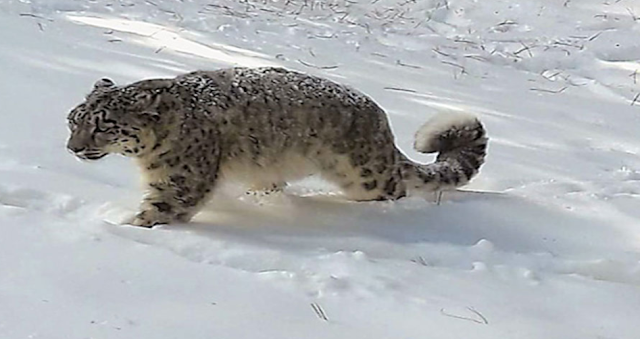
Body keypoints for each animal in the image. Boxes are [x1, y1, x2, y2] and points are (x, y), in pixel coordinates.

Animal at [65, 67, 488, 228]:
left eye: (103, 125)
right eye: (74, 120)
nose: (72, 148)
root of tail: (381, 118)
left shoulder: (178, 184)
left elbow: (155, 213)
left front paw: (121, 229)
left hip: (369, 176)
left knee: (395, 189)